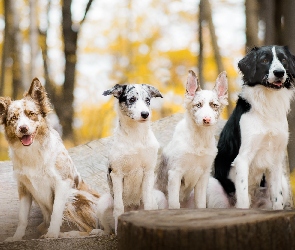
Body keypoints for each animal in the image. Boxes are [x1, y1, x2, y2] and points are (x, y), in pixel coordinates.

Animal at [2, 78, 100, 240]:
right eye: (14, 118)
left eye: (31, 114)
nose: (23, 128)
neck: (32, 151)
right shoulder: (23, 187)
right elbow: (22, 218)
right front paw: (16, 237)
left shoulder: (62, 183)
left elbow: (56, 212)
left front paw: (52, 234)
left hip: (73, 196)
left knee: (96, 229)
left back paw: (69, 234)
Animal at [157, 70, 229, 209]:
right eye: (198, 105)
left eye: (214, 105)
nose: (206, 119)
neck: (199, 139)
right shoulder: (175, 173)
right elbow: (174, 204)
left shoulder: (204, 176)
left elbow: (200, 204)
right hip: (159, 198)